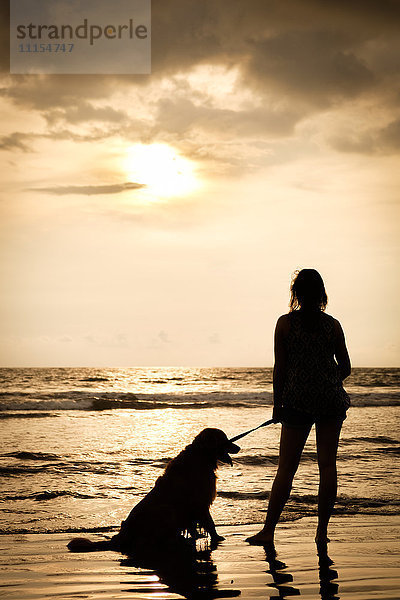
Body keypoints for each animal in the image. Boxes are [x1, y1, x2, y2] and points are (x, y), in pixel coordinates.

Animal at [67, 428, 239, 556]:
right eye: (225, 439)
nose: (238, 447)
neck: (201, 456)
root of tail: (121, 537)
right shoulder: (199, 503)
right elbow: (209, 523)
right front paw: (217, 537)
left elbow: (195, 526)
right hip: (166, 510)